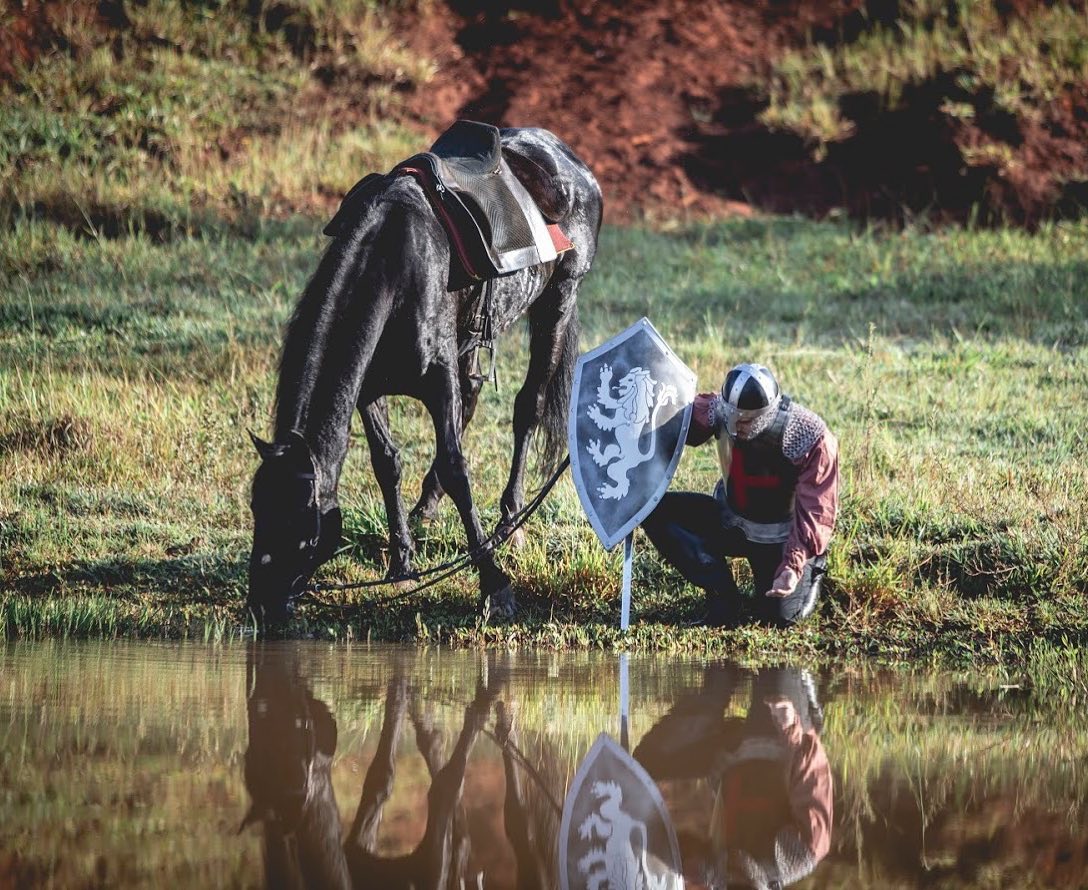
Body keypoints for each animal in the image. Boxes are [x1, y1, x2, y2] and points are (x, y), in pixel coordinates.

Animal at [248, 126, 604, 622]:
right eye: (256, 509)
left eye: (302, 527)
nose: (262, 605)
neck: (394, 264)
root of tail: (569, 160)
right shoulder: (367, 388)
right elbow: (386, 462)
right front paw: (402, 562)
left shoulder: (437, 381)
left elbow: (458, 469)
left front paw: (495, 587)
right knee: (471, 397)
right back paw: (427, 507)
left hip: (558, 302)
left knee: (527, 407)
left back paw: (511, 521)